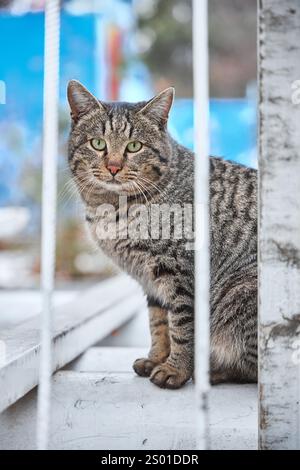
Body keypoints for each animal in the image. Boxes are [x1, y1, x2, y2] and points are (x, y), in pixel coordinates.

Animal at [67, 81, 256, 390]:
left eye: (134, 146)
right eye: (98, 143)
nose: (114, 167)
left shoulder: (179, 272)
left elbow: (181, 326)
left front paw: (176, 369)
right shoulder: (152, 281)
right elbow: (158, 324)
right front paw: (156, 358)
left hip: (239, 292)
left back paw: (213, 370)